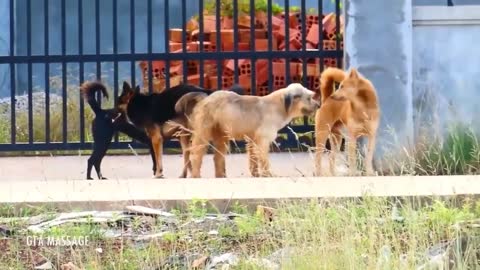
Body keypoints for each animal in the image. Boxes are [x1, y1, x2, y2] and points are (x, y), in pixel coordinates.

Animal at [181, 83, 322, 178]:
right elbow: (264, 160)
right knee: (196, 156)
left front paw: (256, 174)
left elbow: (253, 160)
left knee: (217, 158)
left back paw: (221, 176)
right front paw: (268, 174)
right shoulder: (262, 141)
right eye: (309, 98)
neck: (279, 106)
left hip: (222, 137)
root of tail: (205, 98)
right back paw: (196, 176)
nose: (319, 105)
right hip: (203, 135)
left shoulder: (252, 141)